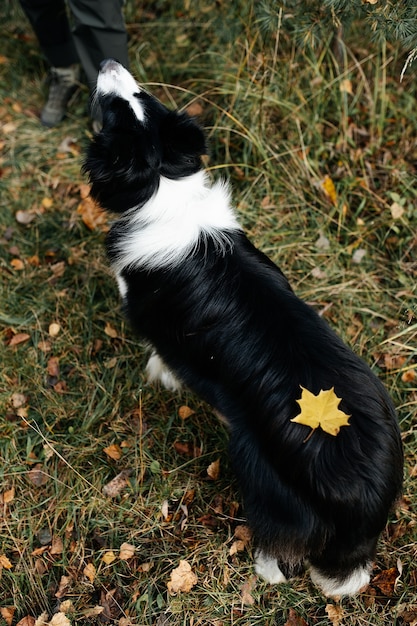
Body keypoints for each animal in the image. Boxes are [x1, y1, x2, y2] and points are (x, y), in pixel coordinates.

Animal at [83, 61, 402, 596]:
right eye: (140, 96)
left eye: (117, 110)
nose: (108, 64)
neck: (165, 187)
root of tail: (368, 494)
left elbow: (161, 356)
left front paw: (159, 376)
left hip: (264, 475)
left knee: (283, 544)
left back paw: (263, 569)